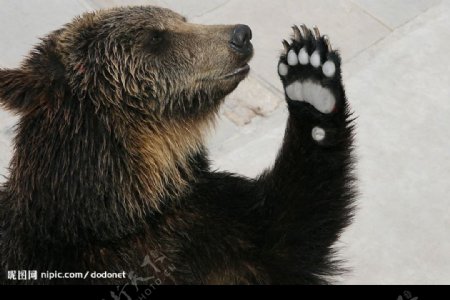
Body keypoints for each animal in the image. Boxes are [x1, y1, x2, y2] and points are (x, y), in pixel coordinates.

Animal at [0, 5, 356, 284]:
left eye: (181, 18)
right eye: (156, 37)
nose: (241, 34)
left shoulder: (211, 222)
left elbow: (293, 227)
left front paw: (309, 74)